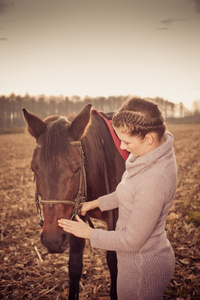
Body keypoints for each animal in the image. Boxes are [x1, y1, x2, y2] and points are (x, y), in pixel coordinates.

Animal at [22, 105, 126, 300]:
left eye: (77, 169)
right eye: (34, 169)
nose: (53, 240)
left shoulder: (115, 218)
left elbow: (114, 261)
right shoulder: (75, 219)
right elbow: (75, 266)